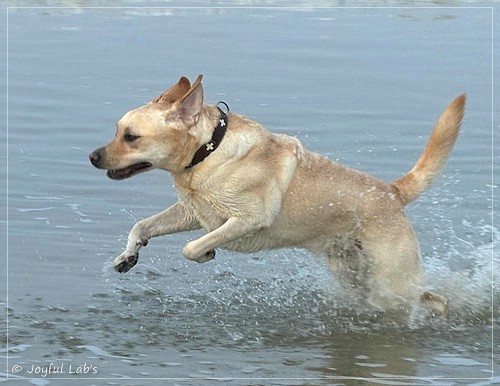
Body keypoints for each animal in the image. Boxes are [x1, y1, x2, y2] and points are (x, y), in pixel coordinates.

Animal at [89, 75, 464, 316]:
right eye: (117, 130)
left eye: (131, 137)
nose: (92, 157)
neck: (209, 151)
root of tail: (392, 192)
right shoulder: (193, 212)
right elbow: (142, 226)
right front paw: (128, 256)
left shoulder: (247, 218)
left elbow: (191, 247)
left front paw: (207, 253)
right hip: (356, 274)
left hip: (393, 280)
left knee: (437, 300)